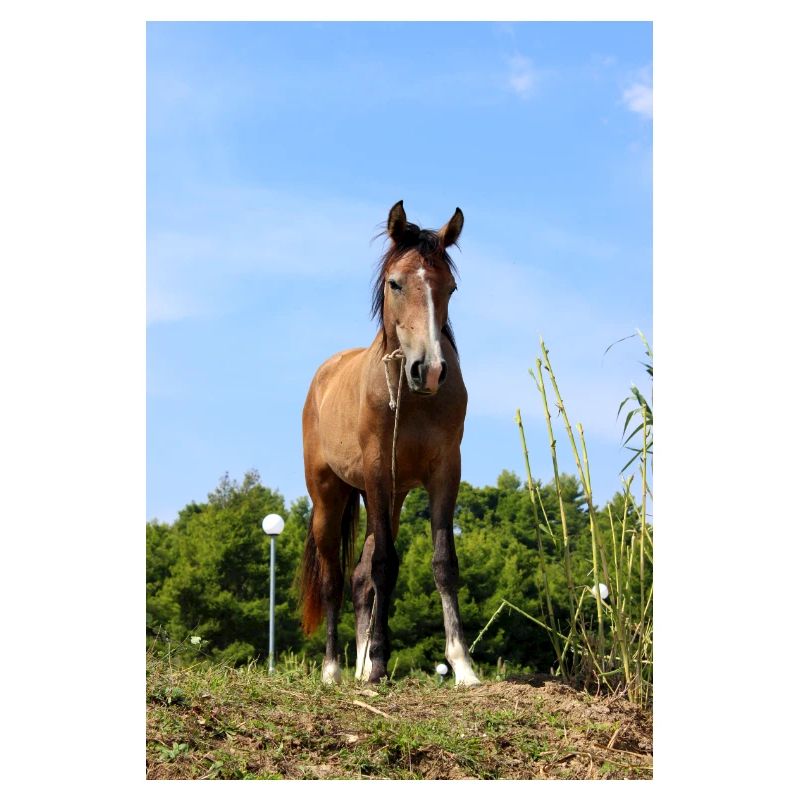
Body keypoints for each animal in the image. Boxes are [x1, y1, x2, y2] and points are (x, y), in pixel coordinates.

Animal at [299, 200, 480, 687]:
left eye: (450, 287)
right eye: (396, 283)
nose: (429, 370)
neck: (412, 398)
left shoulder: (444, 473)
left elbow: (442, 563)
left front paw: (462, 664)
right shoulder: (379, 473)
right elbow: (384, 564)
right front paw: (379, 662)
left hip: (390, 498)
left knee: (359, 577)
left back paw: (360, 665)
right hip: (330, 497)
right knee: (335, 579)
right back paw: (333, 669)